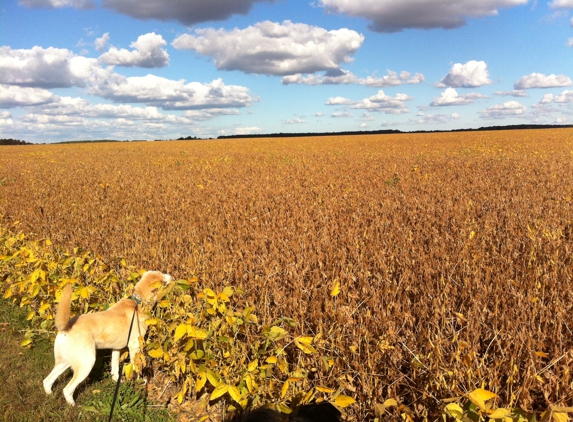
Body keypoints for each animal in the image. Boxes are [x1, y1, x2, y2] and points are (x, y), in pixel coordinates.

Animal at [42, 270, 170, 406]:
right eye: (162, 275)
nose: (171, 275)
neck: (137, 302)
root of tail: (66, 327)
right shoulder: (134, 346)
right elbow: (136, 367)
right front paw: (139, 382)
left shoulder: (116, 349)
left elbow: (115, 368)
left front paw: (117, 381)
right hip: (87, 362)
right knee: (67, 389)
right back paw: (72, 404)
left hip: (65, 361)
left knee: (47, 380)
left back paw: (50, 396)